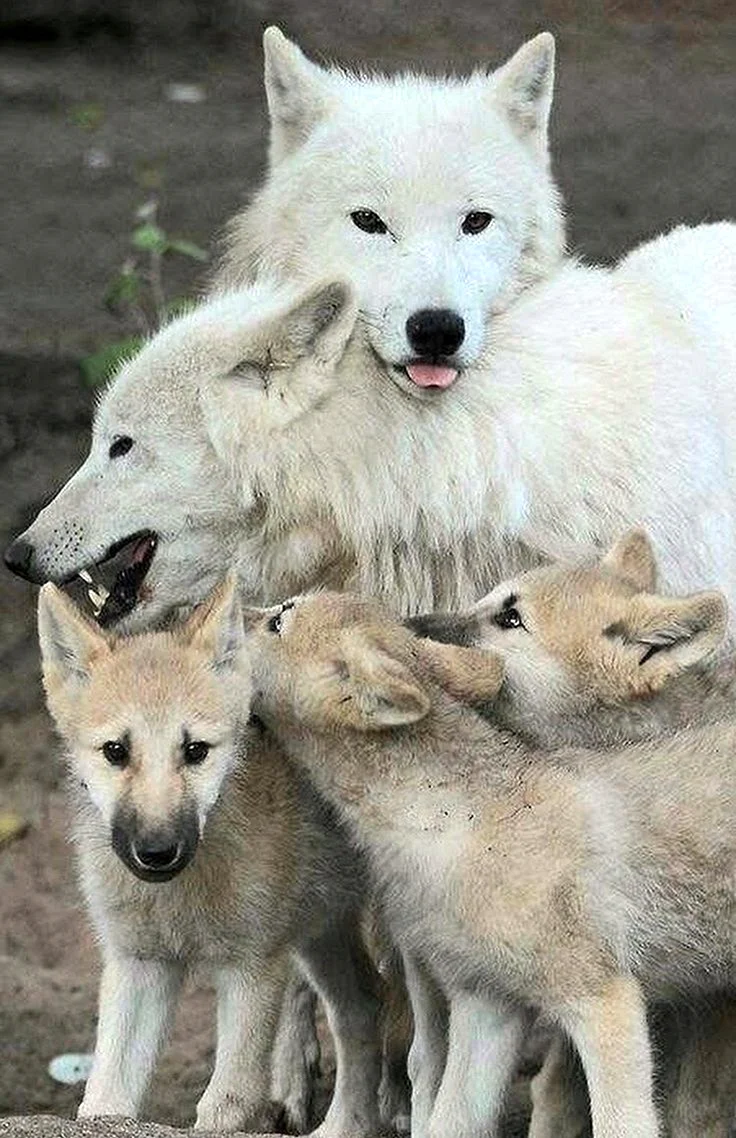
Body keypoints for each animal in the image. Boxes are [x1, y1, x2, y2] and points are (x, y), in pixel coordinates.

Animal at [37, 579, 384, 1136]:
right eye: (115, 751)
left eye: (196, 750)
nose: (157, 852)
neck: (180, 901)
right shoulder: (139, 964)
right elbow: (105, 1099)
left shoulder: (251, 970)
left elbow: (226, 1104)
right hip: (319, 932)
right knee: (362, 1007)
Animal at [242, 587, 736, 1138]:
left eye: (279, 619)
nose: (225, 611)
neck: (458, 825)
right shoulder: (486, 1007)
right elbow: (448, 1119)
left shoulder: (605, 1003)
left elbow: (620, 1122)